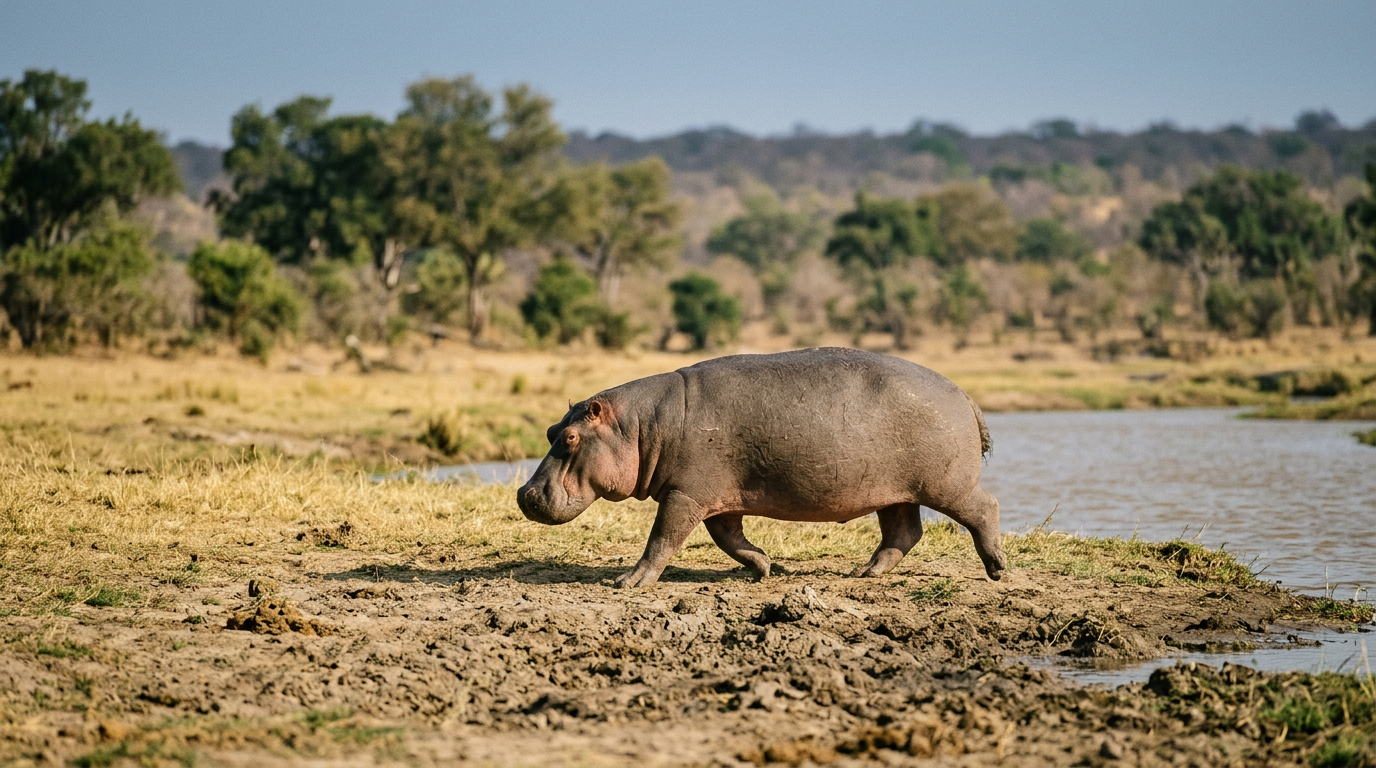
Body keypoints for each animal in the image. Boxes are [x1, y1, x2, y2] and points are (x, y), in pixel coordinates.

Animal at [516, 348, 1005, 587]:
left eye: (570, 437)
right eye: (549, 429)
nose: (524, 494)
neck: (639, 426)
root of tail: (965, 394)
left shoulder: (684, 494)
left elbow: (662, 539)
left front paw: (628, 582)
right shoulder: (716, 499)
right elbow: (729, 540)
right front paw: (765, 567)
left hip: (946, 484)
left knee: (985, 507)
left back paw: (997, 568)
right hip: (896, 492)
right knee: (902, 532)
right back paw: (865, 573)